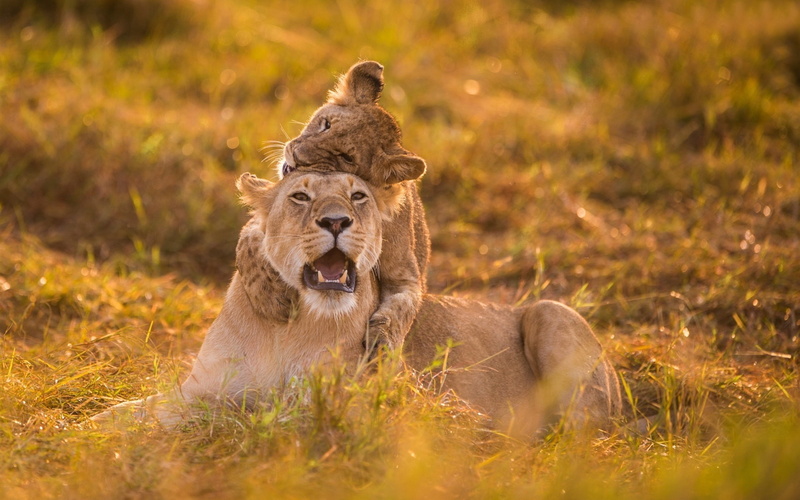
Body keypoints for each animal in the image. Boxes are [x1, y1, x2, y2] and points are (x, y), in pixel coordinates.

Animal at [93, 172, 621, 434]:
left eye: (358, 196)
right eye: (300, 196)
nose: (335, 221)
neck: (285, 327)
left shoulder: (327, 406)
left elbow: (233, 415)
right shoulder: (197, 387)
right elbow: (133, 409)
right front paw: (87, 425)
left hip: (551, 312)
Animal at [239, 61, 428, 358]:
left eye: (345, 157)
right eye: (325, 124)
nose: (297, 156)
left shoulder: (407, 276)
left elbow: (400, 311)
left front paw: (381, 344)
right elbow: (249, 241)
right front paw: (271, 298)